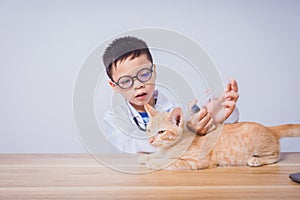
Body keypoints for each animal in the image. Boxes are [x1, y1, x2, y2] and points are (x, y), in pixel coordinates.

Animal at [138, 104, 300, 170]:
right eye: (149, 130)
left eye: (161, 132)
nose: (150, 140)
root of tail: (268, 128)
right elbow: (158, 155)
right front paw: (147, 157)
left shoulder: (196, 161)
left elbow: (171, 161)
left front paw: (154, 162)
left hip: (261, 147)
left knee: (275, 155)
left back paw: (256, 160)